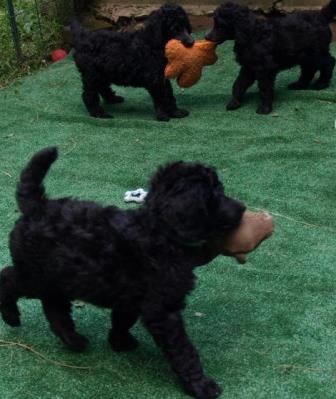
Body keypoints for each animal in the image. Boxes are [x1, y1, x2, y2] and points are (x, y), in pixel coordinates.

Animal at [0, 148, 247, 399]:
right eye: (217, 193)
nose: (242, 208)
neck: (161, 229)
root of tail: (36, 207)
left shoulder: (130, 295)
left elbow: (123, 319)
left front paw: (119, 342)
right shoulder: (162, 308)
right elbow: (183, 350)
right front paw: (201, 385)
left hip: (61, 276)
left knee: (54, 306)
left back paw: (73, 340)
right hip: (37, 274)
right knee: (9, 278)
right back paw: (11, 316)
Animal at [206, 1, 336, 114]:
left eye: (220, 25)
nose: (206, 37)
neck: (252, 34)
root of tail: (321, 15)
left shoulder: (265, 69)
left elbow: (264, 88)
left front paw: (265, 108)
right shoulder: (248, 67)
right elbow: (239, 84)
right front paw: (234, 102)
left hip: (317, 52)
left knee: (329, 63)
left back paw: (321, 84)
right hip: (305, 54)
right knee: (309, 69)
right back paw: (300, 84)